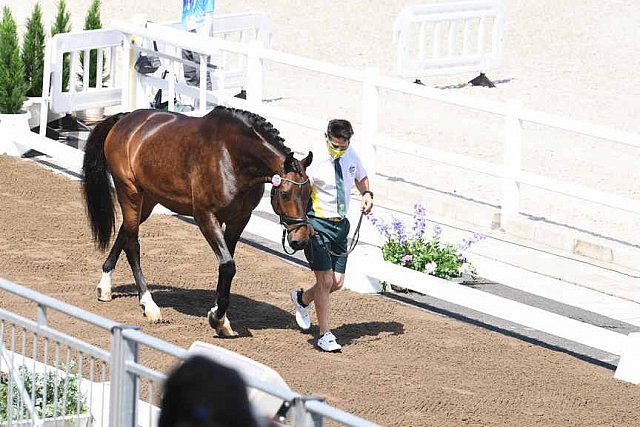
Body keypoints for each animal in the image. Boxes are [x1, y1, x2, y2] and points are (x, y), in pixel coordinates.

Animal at [82, 107, 312, 338]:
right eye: (285, 194)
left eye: (309, 194)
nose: (300, 240)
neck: (231, 156)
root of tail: (125, 118)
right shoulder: (205, 216)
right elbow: (227, 265)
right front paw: (217, 318)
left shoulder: (239, 219)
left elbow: (226, 264)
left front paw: (221, 319)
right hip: (129, 192)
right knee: (132, 244)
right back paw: (149, 305)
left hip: (147, 200)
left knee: (125, 232)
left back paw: (105, 287)